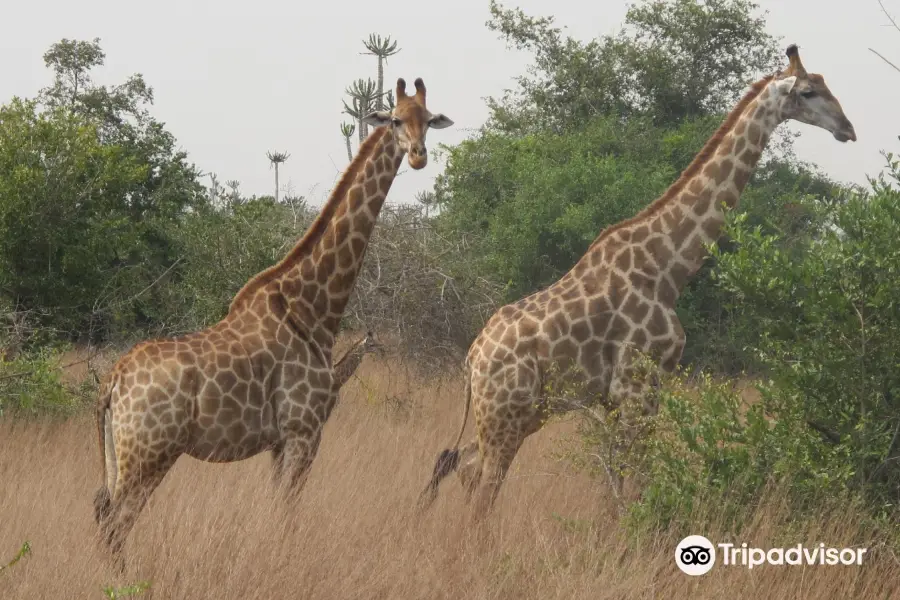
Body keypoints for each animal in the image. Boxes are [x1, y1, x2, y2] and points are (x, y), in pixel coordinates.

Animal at [93, 76, 450, 556]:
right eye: (394, 119)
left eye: (427, 120)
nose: (417, 155)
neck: (313, 307)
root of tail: (114, 382)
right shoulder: (304, 430)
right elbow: (288, 513)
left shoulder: (279, 442)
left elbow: (277, 510)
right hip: (149, 454)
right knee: (116, 527)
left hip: (118, 456)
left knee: (104, 515)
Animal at [422, 44, 856, 516]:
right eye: (809, 91)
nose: (848, 129)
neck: (669, 268)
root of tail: (472, 362)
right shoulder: (638, 387)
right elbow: (638, 482)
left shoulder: (616, 398)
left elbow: (615, 485)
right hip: (508, 413)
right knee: (483, 485)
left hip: (523, 413)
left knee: (462, 467)